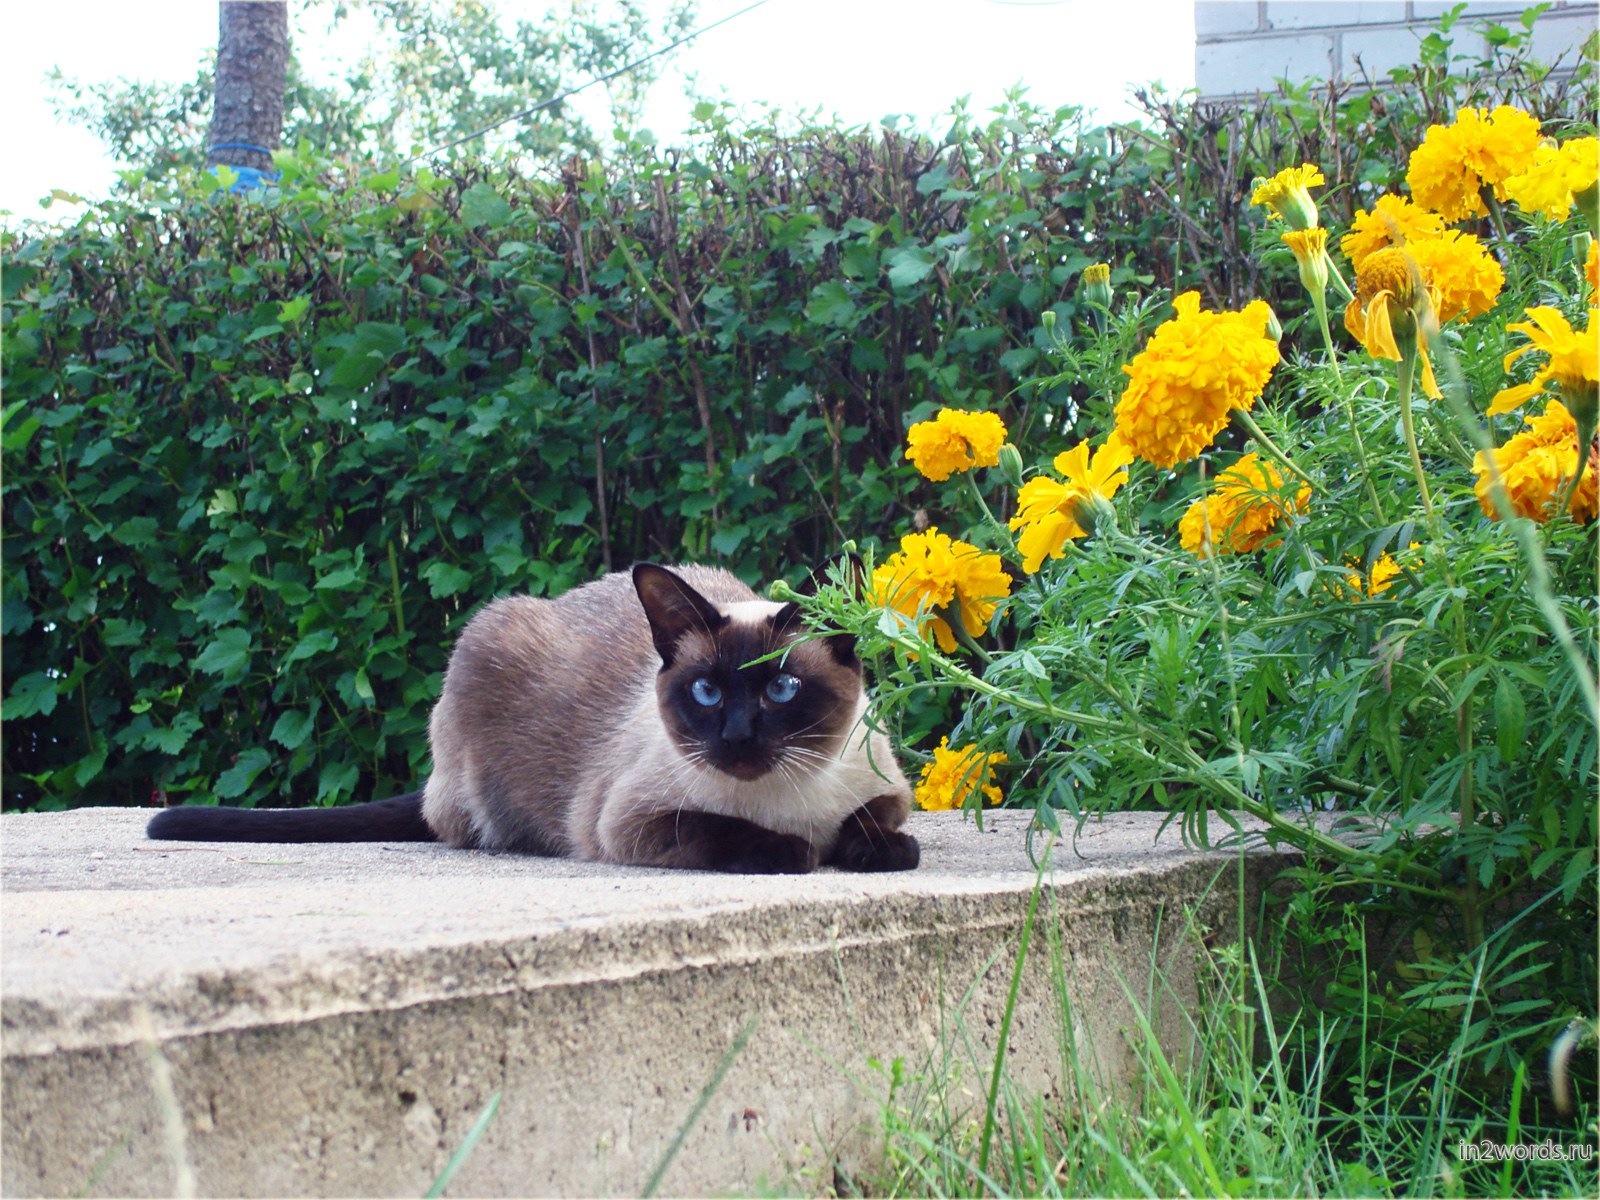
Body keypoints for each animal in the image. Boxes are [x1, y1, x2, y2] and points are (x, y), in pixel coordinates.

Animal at [152, 563, 928, 876]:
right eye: (707, 693)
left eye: (784, 689)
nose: (737, 738)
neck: (786, 801)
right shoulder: (629, 824)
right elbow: (730, 831)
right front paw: (796, 851)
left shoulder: (890, 788)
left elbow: (877, 825)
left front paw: (873, 851)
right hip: (489, 638)